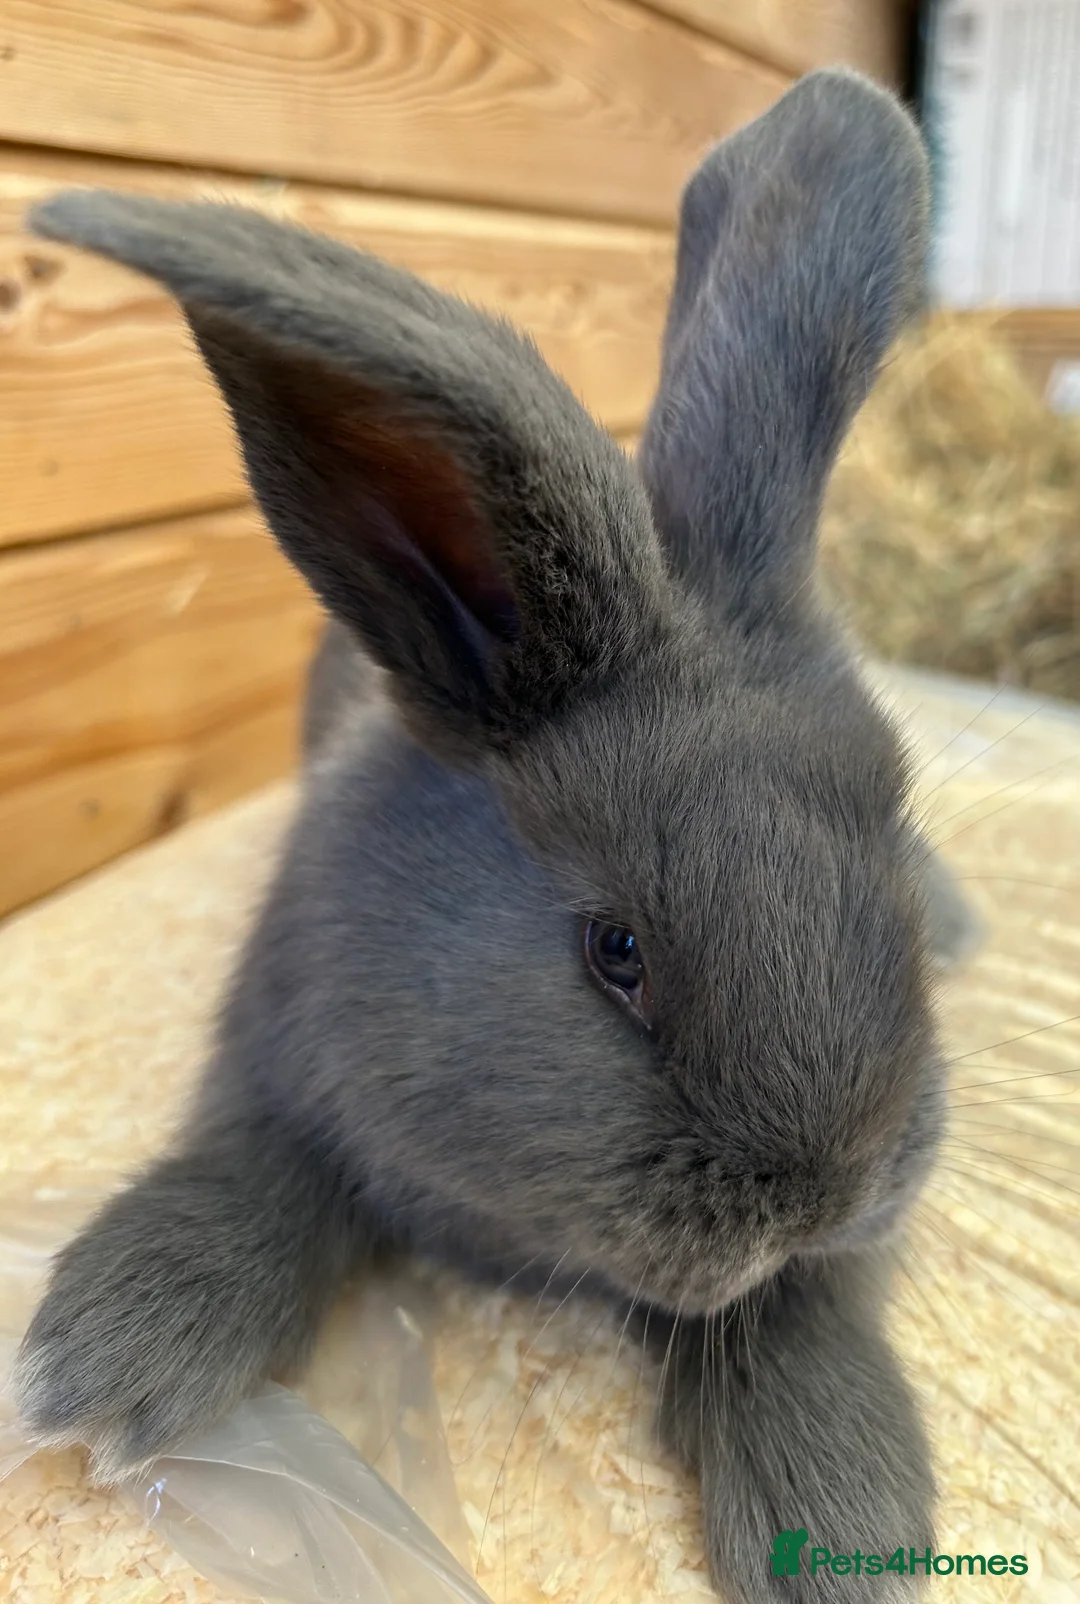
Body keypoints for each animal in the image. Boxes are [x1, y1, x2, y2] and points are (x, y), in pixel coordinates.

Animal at [14, 68, 972, 1603]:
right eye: (615, 949)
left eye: (887, 818)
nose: (822, 1193)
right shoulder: (275, 1066)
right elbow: (248, 1171)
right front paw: (103, 1360)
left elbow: (796, 1317)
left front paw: (844, 1530)